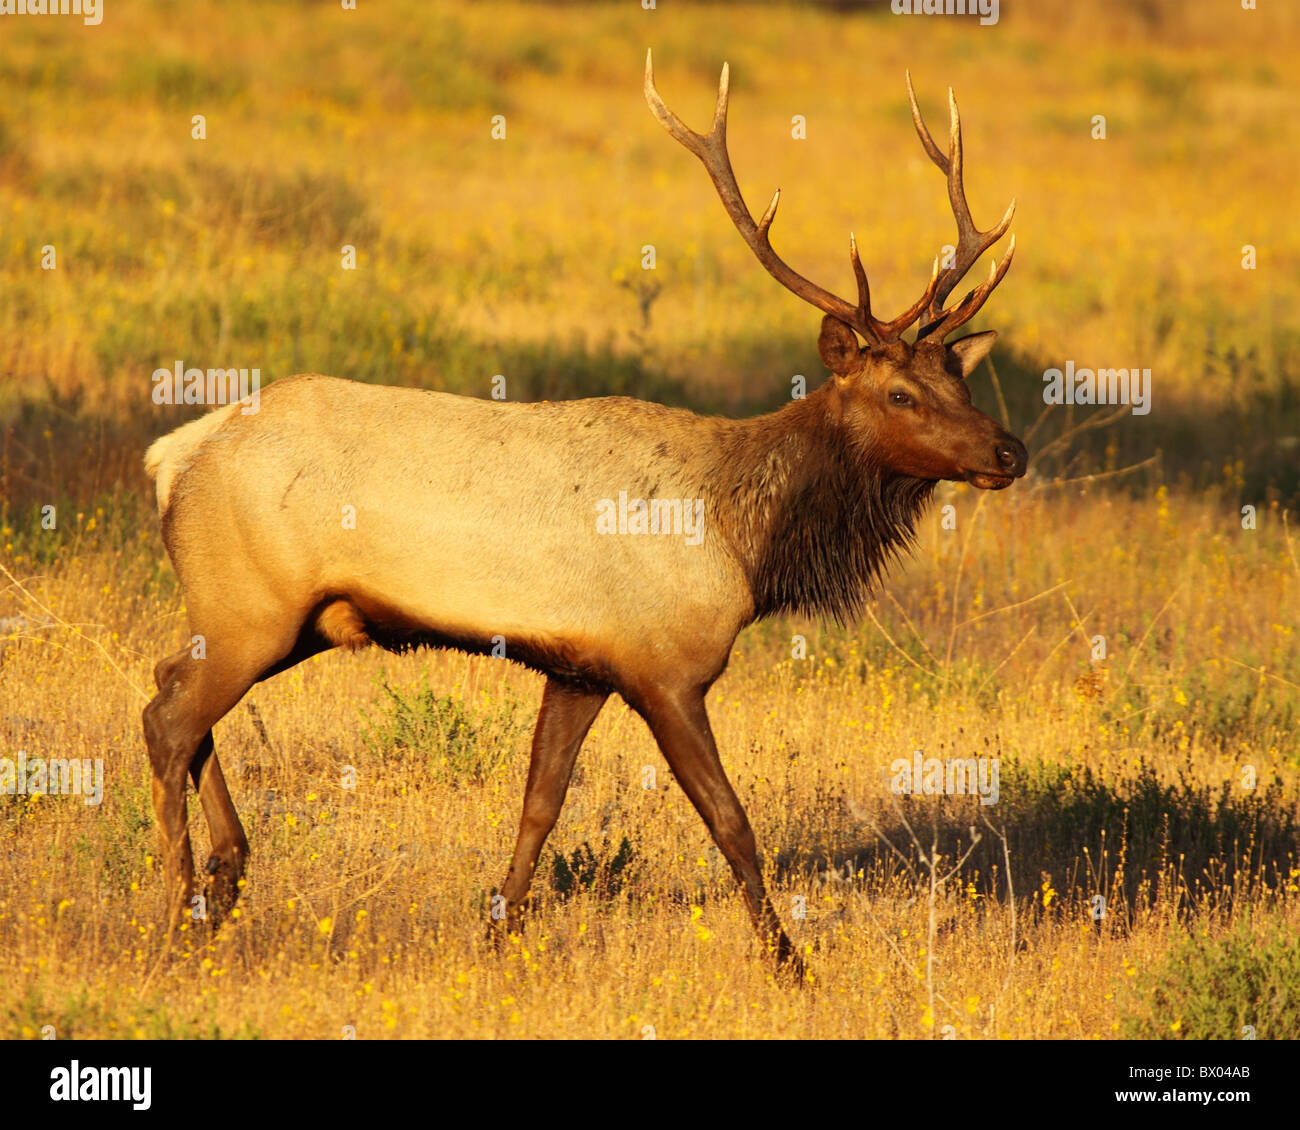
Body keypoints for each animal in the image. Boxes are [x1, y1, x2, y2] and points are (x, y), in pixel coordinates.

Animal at [139, 52, 1013, 967]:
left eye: (960, 379)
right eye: (899, 392)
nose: (1008, 453)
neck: (744, 540)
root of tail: (172, 457)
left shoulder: (580, 668)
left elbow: (540, 805)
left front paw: (499, 933)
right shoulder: (665, 668)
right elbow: (731, 822)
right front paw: (789, 963)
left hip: (282, 619)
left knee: (171, 688)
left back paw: (227, 877)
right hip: (251, 607)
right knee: (168, 718)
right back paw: (177, 911)